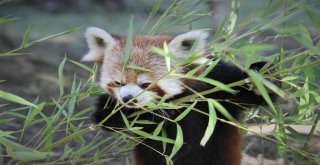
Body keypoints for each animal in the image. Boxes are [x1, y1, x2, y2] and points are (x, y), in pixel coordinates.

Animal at [82, 27, 270, 165]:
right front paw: (109, 109)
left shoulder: (217, 87)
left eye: (145, 84)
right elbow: (108, 121)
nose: (128, 99)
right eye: (118, 82)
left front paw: (262, 75)